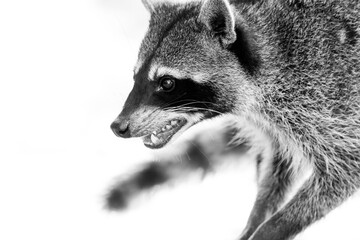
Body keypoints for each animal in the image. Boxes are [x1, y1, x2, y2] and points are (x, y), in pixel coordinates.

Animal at [107, 0, 360, 240]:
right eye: (135, 77)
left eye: (167, 83)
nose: (118, 126)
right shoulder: (278, 125)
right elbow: (278, 167)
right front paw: (255, 220)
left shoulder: (327, 98)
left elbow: (345, 170)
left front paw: (271, 229)